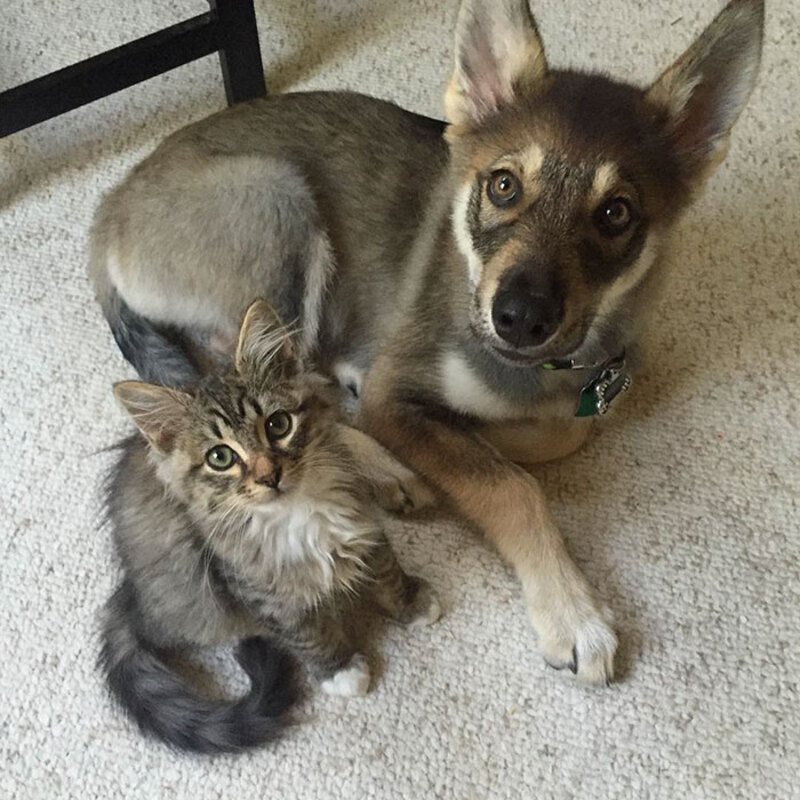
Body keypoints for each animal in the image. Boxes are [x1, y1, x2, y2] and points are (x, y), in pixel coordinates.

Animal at [87, 1, 764, 688]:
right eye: (503, 186)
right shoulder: (395, 388)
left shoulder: (583, 395)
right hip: (278, 205)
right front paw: (573, 614)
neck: (537, 368)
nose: (518, 318)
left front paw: (486, 432)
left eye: (616, 213)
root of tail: (108, 212)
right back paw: (383, 464)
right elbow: (511, 485)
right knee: (286, 379)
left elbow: (560, 432)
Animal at [100, 296, 444, 752]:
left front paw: (413, 602)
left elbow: (387, 571)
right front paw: (342, 670)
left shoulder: (363, 522)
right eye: (220, 457)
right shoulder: (258, 590)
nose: (269, 476)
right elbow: (307, 632)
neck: (300, 511)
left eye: (278, 425)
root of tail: (131, 594)